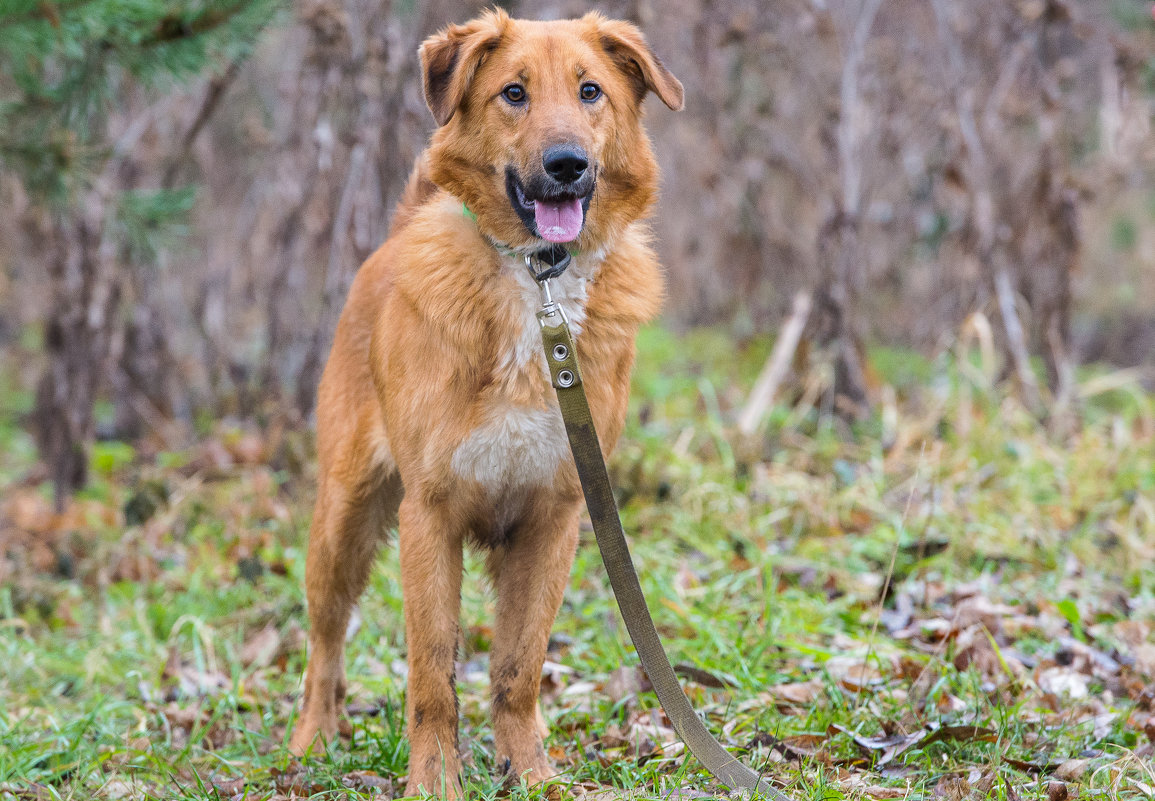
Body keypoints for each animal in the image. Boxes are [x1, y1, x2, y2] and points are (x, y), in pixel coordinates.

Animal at [288, 10, 679, 798]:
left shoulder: (555, 516)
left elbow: (517, 669)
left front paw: (530, 771)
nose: (566, 164)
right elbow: (432, 676)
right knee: (324, 638)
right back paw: (313, 737)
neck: (538, 285)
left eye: (590, 91)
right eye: (513, 93)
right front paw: (436, 780)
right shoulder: (429, 516)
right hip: (343, 517)